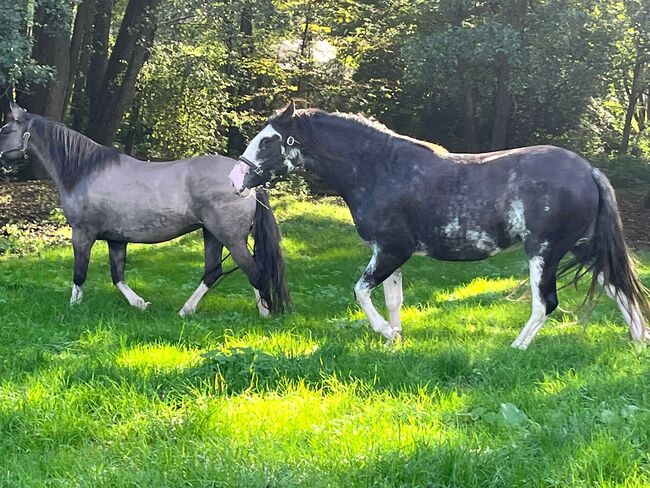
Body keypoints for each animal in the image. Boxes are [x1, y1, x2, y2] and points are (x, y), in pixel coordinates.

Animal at [0, 103, 288, 316]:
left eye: (4, 130)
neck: (84, 170)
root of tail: (247, 182)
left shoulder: (82, 235)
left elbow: (80, 274)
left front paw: (73, 308)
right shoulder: (116, 239)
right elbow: (117, 275)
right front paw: (139, 303)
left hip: (230, 237)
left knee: (254, 271)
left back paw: (264, 313)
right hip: (212, 234)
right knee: (214, 272)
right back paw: (186, 310)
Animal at [229, 101, 648, 348]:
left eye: (268, 141)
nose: (236, 179)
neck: (378, 169)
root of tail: (588, 170)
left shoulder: (391, 251)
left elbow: (361, 292)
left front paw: (385, 333)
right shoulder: (389, 254)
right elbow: (392, 300)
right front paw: (393, 340)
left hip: (544, 252)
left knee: (546, 302)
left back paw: (516, 347)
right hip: (583, 247)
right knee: (618, 287)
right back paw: (638, 341)